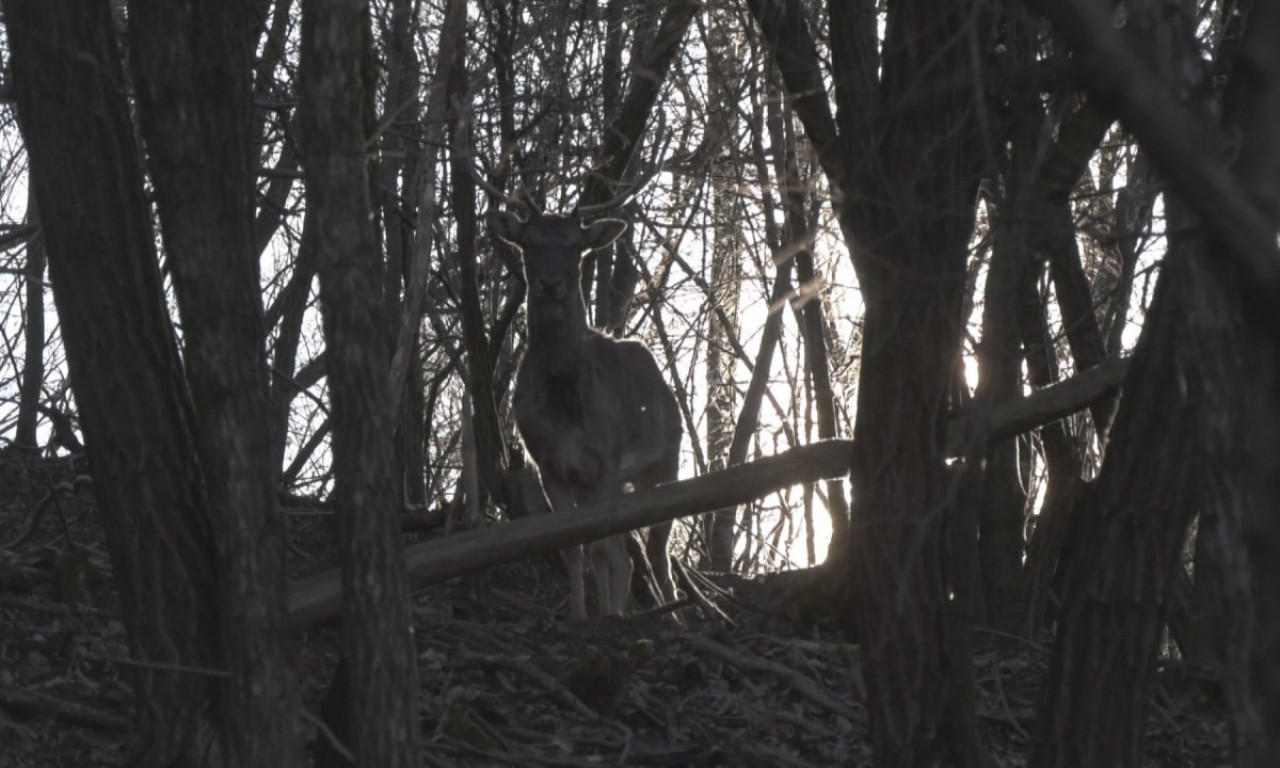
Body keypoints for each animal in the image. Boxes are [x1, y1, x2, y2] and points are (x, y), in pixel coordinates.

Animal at [486, 206, 680, 624]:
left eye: (576, 246)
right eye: (529, 243)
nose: (550, 283)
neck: (566, 407)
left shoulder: (605, 460)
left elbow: (600, 550)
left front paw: (606, 614)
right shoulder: (549, 465)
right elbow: (574, 547)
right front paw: (579, 614)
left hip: (665, 463)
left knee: (657, 552)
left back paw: (676, 613)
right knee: (628, 557)